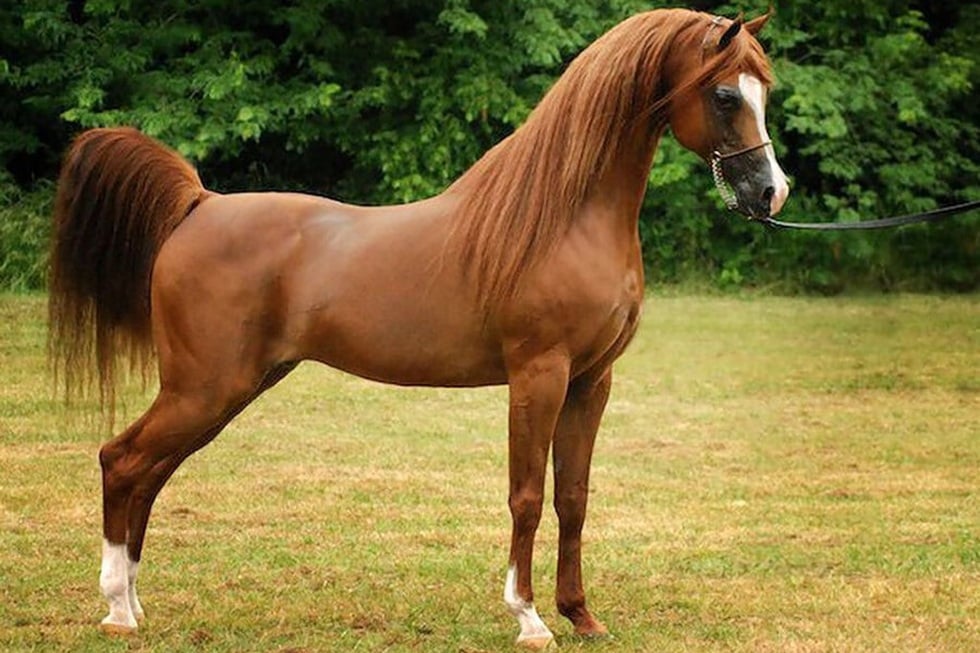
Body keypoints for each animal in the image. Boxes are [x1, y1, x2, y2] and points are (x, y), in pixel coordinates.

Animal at [48, 8, 788, 649]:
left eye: (765, 90)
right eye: (726, 94)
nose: (771, 193)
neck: (564, 217)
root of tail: (197, 204)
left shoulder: (591, 381)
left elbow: (572, 497)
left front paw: (581, 615)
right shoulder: (538, 375)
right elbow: (526, 495)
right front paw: (529, 619)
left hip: (226, 391)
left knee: (149, 473)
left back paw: (133, 603)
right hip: (205, 388)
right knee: (122, 460)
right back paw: (118, 610)